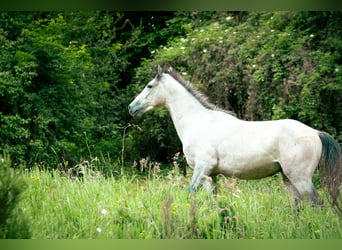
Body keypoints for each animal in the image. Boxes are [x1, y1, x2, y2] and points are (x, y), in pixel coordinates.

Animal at [128, 65, 342, 215]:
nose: (131, 107)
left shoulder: (202, 168)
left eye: (149, 86)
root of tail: (315, 132)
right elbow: (212, 199)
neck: (198, 122)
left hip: (301, 178)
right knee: (298, 204)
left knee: (316, 204)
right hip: (288, 178)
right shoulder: (210, 175)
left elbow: (190, 192)